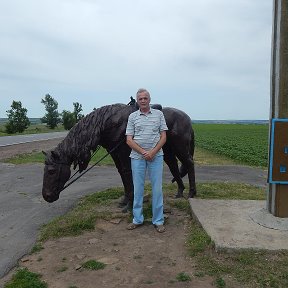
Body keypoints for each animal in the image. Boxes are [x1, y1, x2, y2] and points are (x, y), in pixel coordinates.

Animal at [41, 102, 197, 208]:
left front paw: (130, 204)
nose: (46, 196)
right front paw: (125, 200)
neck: (107, 124)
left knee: (189, 163)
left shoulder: (123, 153)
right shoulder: (114, 153)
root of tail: (188, 119)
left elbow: (128, 173)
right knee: (174, 166)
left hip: (180, 148)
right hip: (168, 150)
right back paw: (179, 193)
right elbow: (122, 173)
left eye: (51, 171)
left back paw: (192, 193)